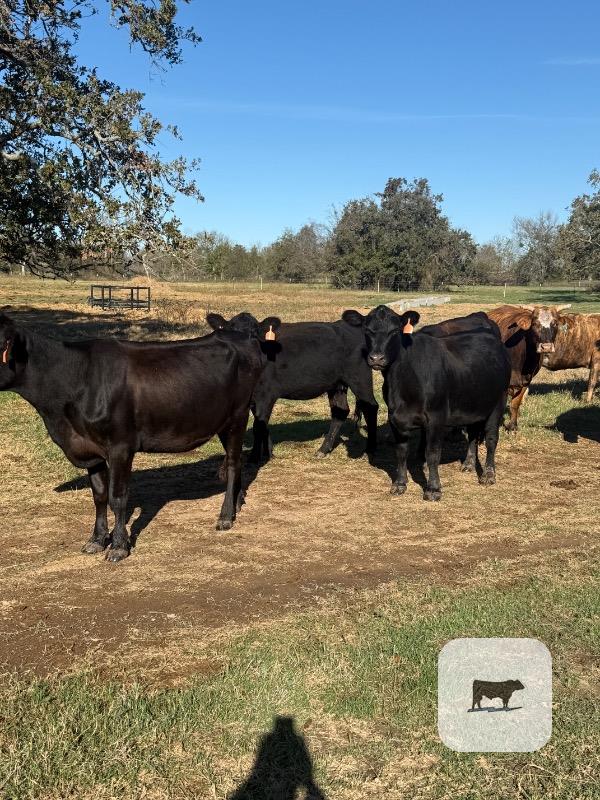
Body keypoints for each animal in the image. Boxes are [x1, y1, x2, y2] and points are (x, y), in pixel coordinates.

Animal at [0, 312, 277, 561]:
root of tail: (239, 338)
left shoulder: (121, 446)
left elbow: (118, 497)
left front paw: (119, 546)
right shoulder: (90, 449)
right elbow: (99, 496)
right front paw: (96, 540)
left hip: (238, 416)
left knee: (233, 464)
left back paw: (226, 516)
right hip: (221, 421)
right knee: (235, 461)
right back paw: (237, 503)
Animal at [205, 312, 379, 463]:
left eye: (254, 334)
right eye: (230, 333)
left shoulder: (266, 394)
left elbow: (258, 426)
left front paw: (255, 457)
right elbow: (262, 423)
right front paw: (268, 452)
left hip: (360, 379)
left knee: (371, 407)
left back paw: (370, 450)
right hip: (336, 384)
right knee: (340, 411)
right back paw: (323, 449)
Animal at [342, 305, 511, 500]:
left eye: (394, 331)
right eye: (367, 330)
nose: (376, 358)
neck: (402, 380)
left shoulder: (436, 418)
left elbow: (432, 453)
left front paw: (433, 488)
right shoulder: (395, 417)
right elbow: (401, 451)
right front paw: (400, 483)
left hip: (498, 401)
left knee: (491, 438)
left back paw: (488, 474)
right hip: (474, 403)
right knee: (473, 433)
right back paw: (468, 464)